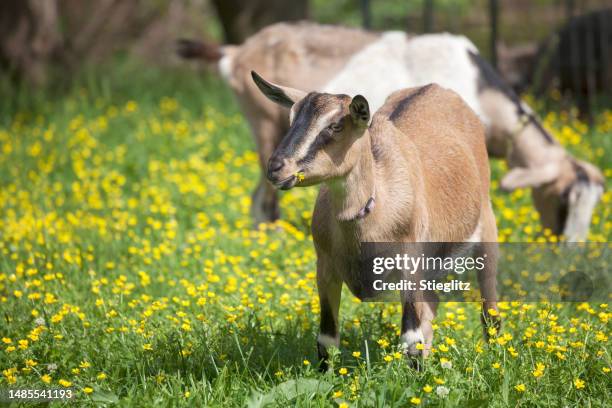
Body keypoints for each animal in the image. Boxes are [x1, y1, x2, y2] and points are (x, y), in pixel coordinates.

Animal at [251, 72, 500, 370]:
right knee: (431, 305)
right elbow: (327, 339)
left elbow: (410, 339)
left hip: (486, 229)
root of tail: (439, 89)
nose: (276, 168)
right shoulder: (325, 266)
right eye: (292, 118)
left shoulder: (409, 261)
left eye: (335, 125)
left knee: (489, 311)